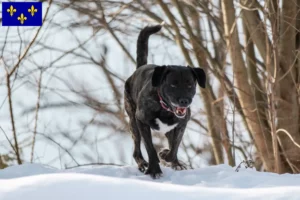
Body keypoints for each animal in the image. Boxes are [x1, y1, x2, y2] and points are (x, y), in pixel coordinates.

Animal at [124, 23, 206, 178]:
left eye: (190, 84)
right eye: (173, 84)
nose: (184, 101)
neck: (164, 108)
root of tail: (138, 69)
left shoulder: (181, 124)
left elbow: (174, 148)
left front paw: (167, 156)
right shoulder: (141, 121)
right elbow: (150, 148)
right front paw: (154, 169)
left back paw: (175, 162)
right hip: (133, 121)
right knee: (136, 148)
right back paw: (142, 163)